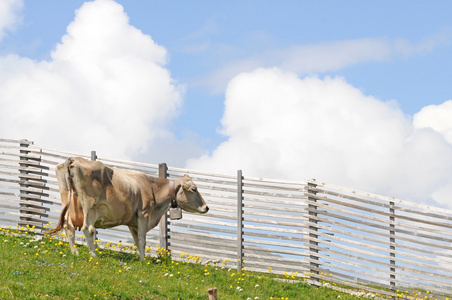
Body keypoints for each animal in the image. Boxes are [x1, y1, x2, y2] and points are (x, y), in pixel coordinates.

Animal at [46, 157, 208, 260]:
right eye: (194, 189)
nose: (206, 207)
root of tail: (74, 159)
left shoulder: (132, 222)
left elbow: (137, 241)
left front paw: (141, 259)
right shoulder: (144, 215)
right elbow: (142, 240)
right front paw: (143, 261)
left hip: (68, 202)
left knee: (69, 227)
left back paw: (75, 253)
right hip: (90, 207)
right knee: (88, 228)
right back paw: (94, 255)